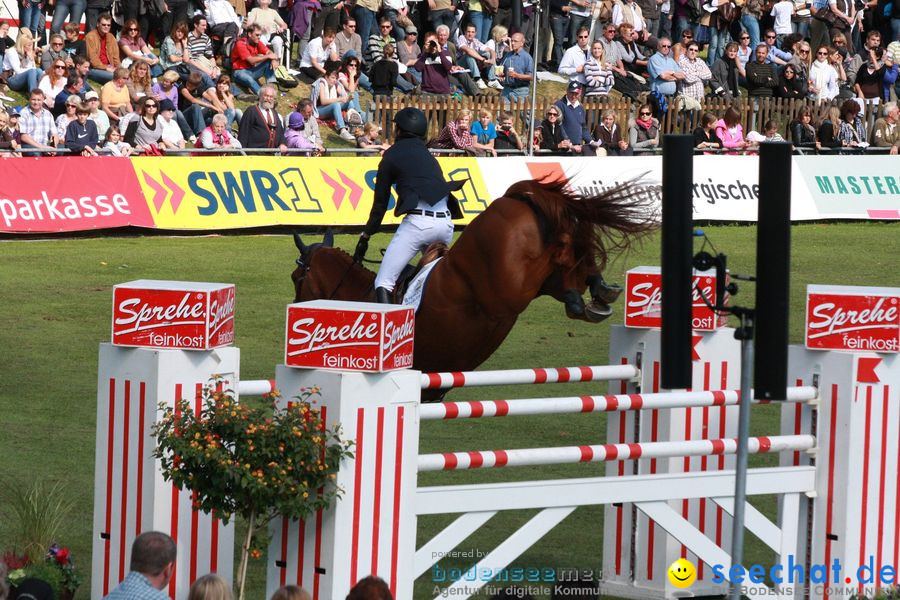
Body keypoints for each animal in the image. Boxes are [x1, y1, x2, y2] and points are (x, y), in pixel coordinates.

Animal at [292, 178, 656, 382]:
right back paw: (597, 293)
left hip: (508, 287)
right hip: (540, 277)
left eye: (297, 277)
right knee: (568, 268)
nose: (296, 304)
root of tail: (514, 198)